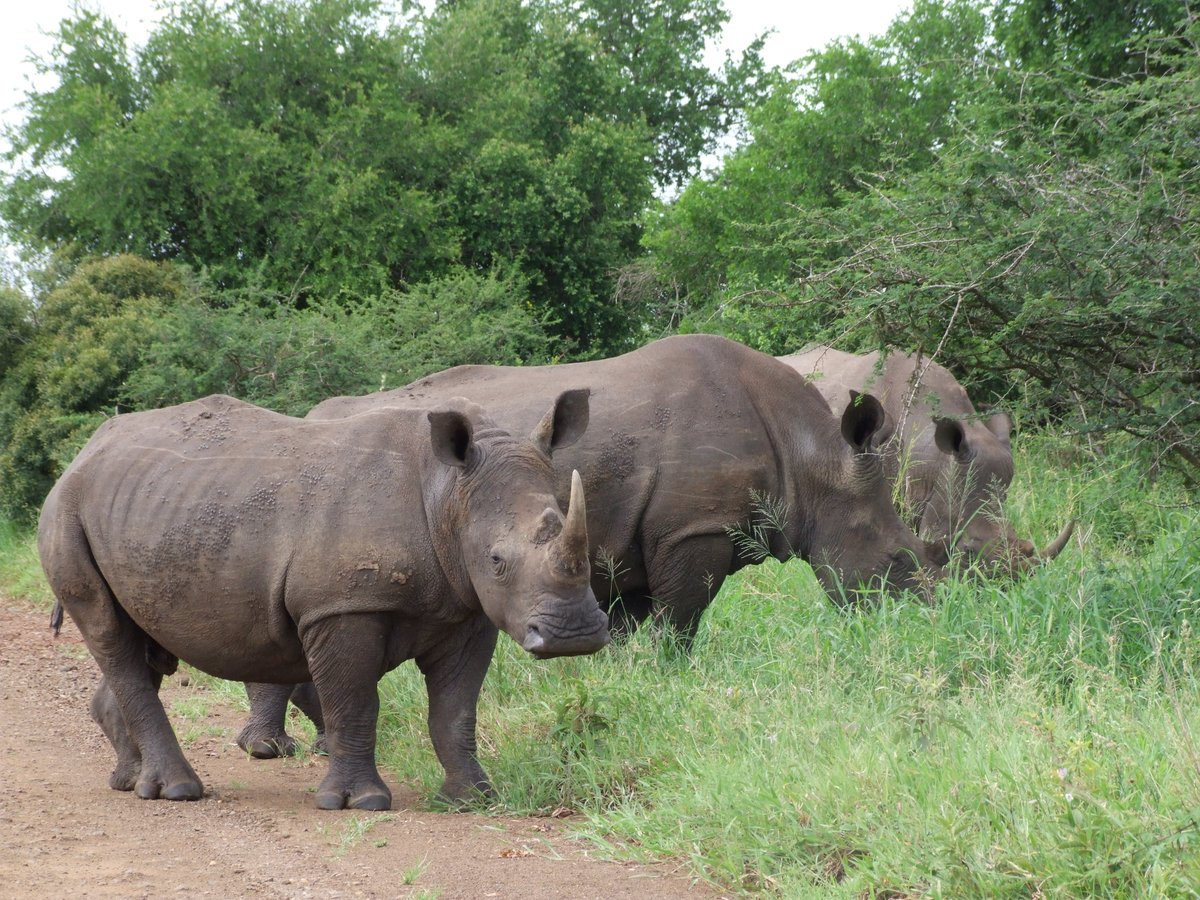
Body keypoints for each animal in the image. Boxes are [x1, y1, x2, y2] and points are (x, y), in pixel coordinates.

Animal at [38, 391, 607, 810]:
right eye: (496, 560)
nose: (574, 636)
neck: (447, 493)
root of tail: (79, 457)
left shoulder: (466, 610)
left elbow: (456, 710)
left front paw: (473, 800)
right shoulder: (342, 606)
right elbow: (354, 701)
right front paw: (359, 803)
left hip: (148, 512)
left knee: (142, 645)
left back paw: (129, 780)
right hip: (65, 513)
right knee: (110, 633)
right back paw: (176, 792)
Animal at [236, 334, 945, 758]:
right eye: (899, 561)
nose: (918, 625)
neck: (814, 462)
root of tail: (308, 420)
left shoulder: (630, 544)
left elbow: (635, 625)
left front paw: (628, 683)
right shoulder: (694, 530)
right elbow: (682, 622)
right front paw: (669, 681)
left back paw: (297, 744)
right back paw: (276, 750)